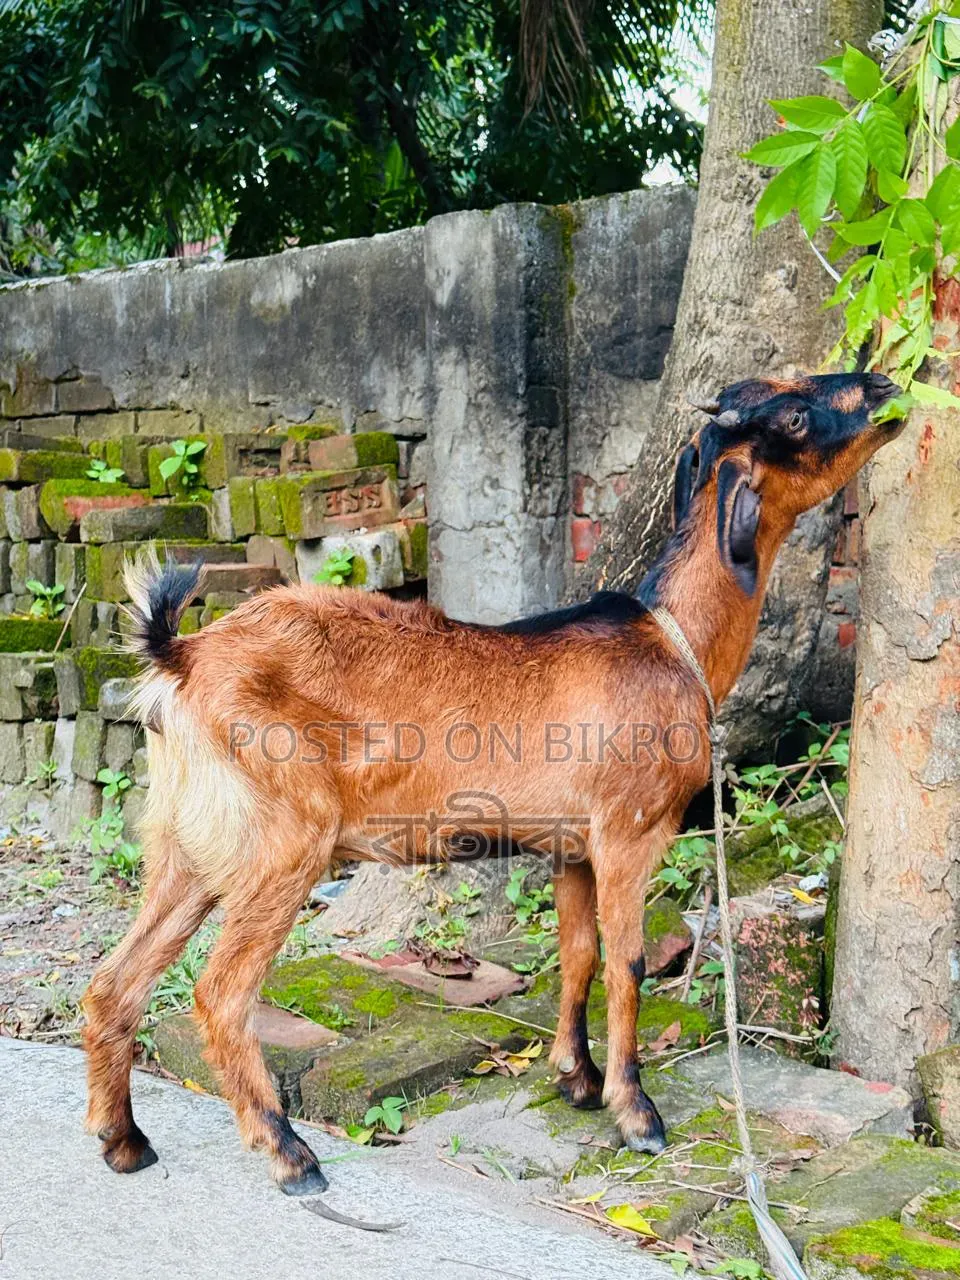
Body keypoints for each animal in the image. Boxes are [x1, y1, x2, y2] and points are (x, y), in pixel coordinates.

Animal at [83, 370, 900, 1194]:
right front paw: (635, 1113)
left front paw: (576, 1078)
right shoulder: (630, 830)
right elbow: (629, 960)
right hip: (281, 845)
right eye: (793, 415)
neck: (674, 641)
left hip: (187, 845)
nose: (884, 386)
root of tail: (181, 659)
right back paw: (288, 1152)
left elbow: (578, 952)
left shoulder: (572, 847)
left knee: (114, 979)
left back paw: (124, 1141)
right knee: (220, 993)